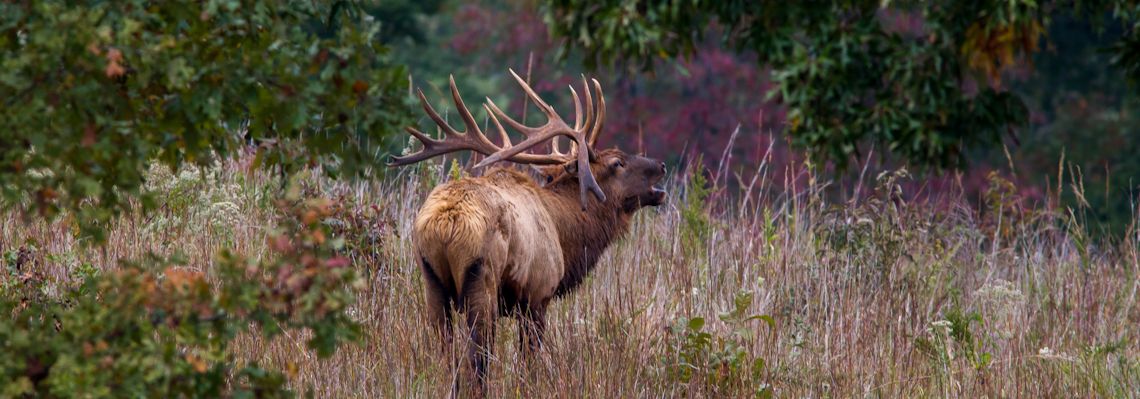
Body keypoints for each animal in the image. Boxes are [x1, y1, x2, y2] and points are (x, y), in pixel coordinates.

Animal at [389, 69, 665, 396]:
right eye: (617, 162)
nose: (661, 164)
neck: (564, 233)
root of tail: (446, 223)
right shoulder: (538, 295)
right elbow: (528, 364)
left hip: (432, 283)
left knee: (447, 356)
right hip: (482, 282)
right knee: (478, 360)